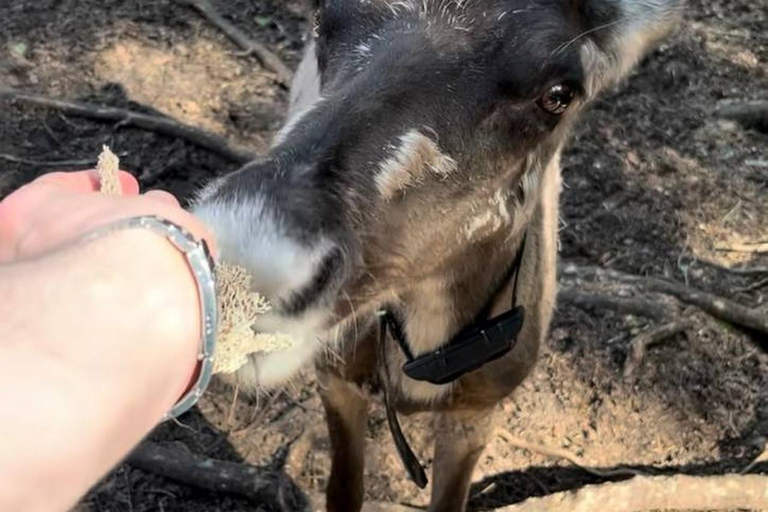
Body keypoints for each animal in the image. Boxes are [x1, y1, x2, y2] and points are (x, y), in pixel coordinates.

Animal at [192, 1, 682, 510]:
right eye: (323, 16)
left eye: (560, 93)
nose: (242, 262)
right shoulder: (336, 379)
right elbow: (343, 489)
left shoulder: (479, 409)